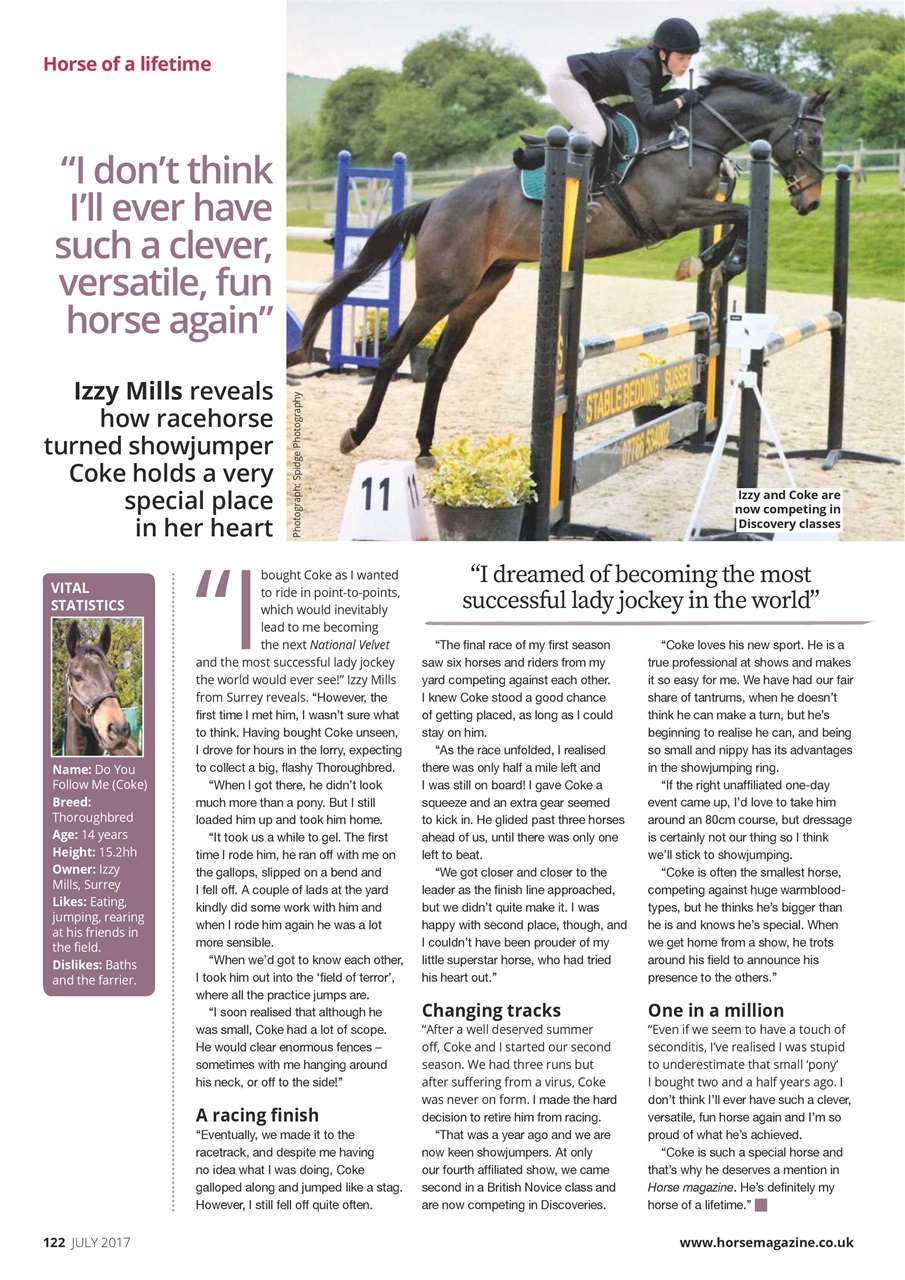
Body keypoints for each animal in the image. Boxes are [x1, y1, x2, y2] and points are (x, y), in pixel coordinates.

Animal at [299, 68, 830, 459]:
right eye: (813, 140)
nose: (811, 202)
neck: (688, 138)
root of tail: (437, 204)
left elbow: (741, 217)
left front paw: (714, 263)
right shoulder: (672, 214)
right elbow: (742, 214)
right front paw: (707, 262)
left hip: (481, 290)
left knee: (442, 362)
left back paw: (426, 447)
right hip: (441, 290)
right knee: (393, 351)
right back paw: (356, 433)